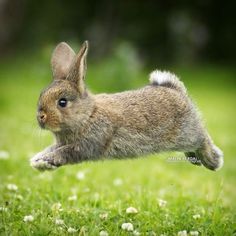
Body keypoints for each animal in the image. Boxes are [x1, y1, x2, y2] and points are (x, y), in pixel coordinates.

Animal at [30, 41, 224, 171]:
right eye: (41, 95)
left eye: (62, 102)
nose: (41, 117)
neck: (88, 115)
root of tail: (176, 91)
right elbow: (52, 148)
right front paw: (38, 160)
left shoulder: (89, 143)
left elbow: (66, 152)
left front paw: (47, 160)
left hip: (187, 133)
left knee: (203, 139)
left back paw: (213, 160)